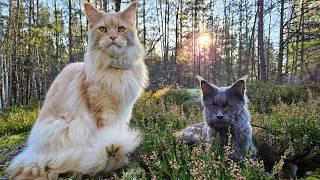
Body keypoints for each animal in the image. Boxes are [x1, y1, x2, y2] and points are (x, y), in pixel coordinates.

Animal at [7, 0, 148, 179]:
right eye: (103, 29)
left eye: (121, 29)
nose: (113, 37)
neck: (114, 70)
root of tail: (33, 153)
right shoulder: (104, 110)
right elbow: (109, 135)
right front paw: (114, 153)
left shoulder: (125, 110)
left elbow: (119, 130)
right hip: (67, 126)